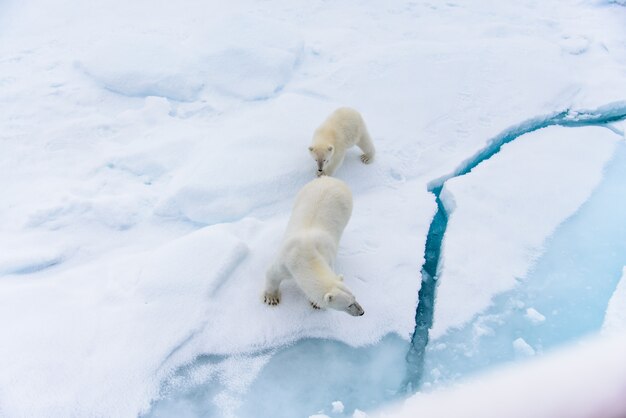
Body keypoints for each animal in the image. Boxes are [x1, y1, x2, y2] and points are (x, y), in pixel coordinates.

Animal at [260, 175, 364, 316]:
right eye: (348, 304)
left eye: (354, 297)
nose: (362, 312)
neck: (306, 255)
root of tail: (329, 178)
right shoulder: (286, 259)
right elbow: (273, 273)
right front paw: (271, 298)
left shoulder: (327, 257)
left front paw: (315, 303)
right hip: (302, 193)